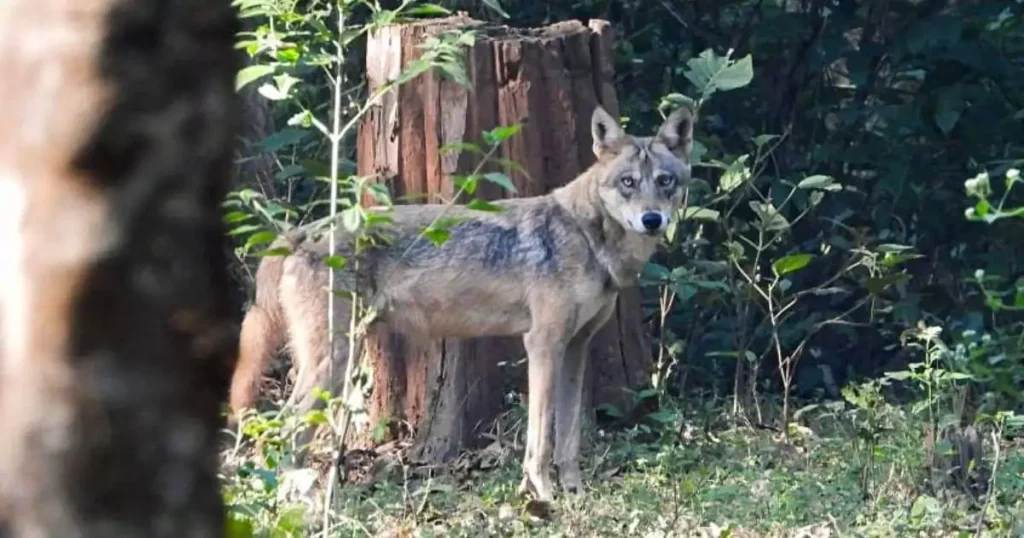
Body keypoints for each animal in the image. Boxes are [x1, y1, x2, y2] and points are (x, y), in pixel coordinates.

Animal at [230, 104, 696, 500]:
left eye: (666, 181)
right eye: (628, 182)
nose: (652, 220)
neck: (587, 236)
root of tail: (300, 232)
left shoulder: (575, 348)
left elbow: (567, 440)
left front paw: (575, 496)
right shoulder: (542, 345)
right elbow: (540, 440)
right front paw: (543, 497)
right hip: (334, 362)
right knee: (285, 425)